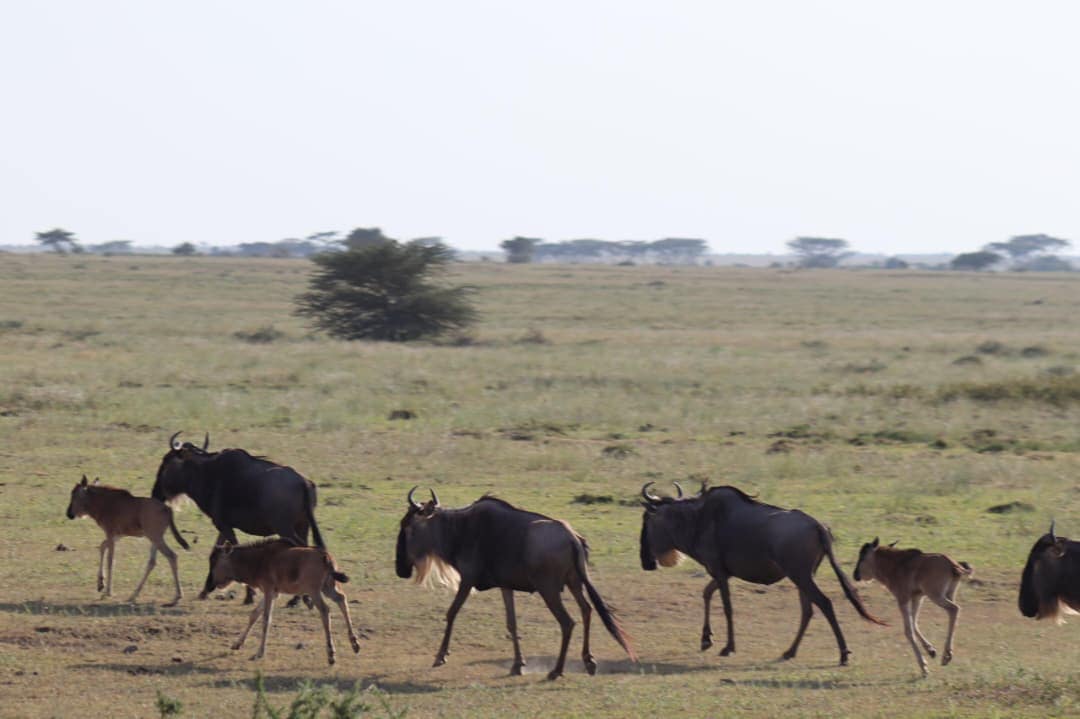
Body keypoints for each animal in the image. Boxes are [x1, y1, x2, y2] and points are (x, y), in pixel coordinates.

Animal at [151, 432, 324, 605]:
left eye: (166, 462)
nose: (156, 493)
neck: (206, 473)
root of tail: (303, 482)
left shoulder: (224, 526)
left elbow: (235, 551)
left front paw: (249, 596)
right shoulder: (223, 526)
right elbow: (214, 553)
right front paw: (204, 592)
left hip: (285, 528)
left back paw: (299, 599)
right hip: (302, 526)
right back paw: (299, 598)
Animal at [395, 487, 637, 680]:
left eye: (408, 527)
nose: (400, 570)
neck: (458, 529)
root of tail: (573, 538)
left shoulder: (467, 580)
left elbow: (451, 612)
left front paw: (440, 656)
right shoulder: (506, 586)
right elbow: (512, 623)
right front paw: (517, 665)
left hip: (549, 589)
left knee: (568, 622)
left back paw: (556, 671)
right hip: (574, 583)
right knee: (586, 610)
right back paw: (588, 661)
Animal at [639, 482, 885, 666]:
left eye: (646, 520)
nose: (646, 562)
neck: (696, 520)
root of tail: (819, 526)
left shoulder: (719, 573)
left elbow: (727, 607)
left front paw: (728, 647)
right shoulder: (722, 573)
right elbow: (707, 593)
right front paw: (706, 640)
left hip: (801, 576)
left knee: (824, 603)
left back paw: (843, 654)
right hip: (803, 577)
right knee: (808, 610)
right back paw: (789, 652)